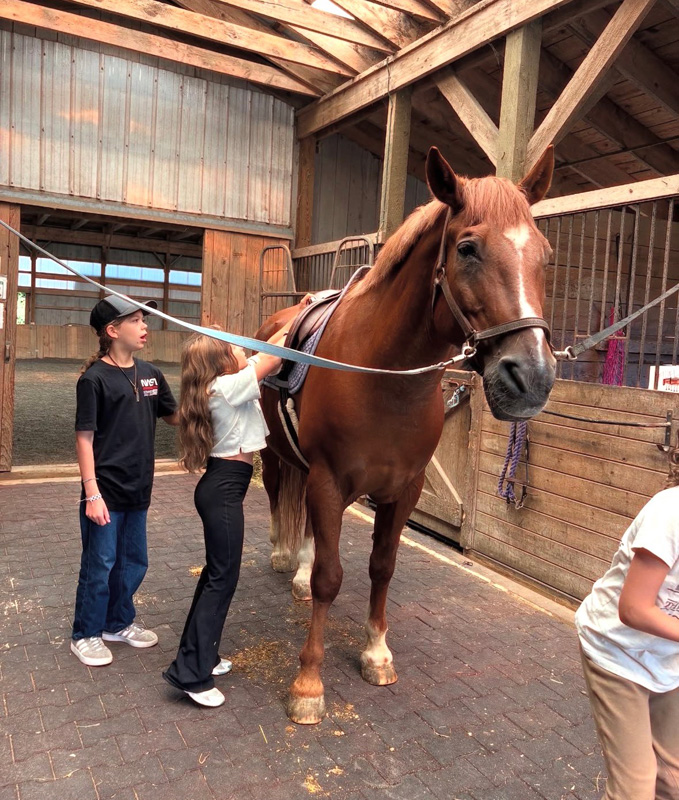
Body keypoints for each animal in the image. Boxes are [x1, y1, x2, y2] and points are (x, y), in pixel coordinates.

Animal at [255, 145, 556, 725]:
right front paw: (308, 684)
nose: (531, 377)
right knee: (280, 494)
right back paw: (284, 556)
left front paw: (376, 653)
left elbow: (382, 567)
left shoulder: (404, 489)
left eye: (546, 255)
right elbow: (331, 577)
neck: (382, 375)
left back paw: (296, 570)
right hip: (277, 455)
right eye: (467, 249)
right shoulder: (329, 482)